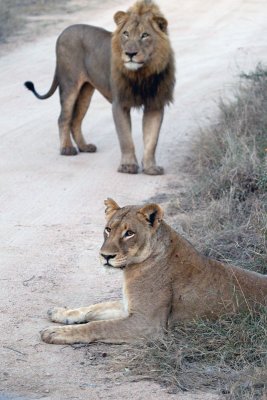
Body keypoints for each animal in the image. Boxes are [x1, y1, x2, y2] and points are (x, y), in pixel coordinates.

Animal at [24, 0, 176, 175]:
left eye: (145, 35)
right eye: (126, 34)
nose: (130, 53)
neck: (142, 73)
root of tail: (63, 32)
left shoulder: (155, 104)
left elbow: (152, 139)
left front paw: (151, 168)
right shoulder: (119, 103)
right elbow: (125, 138)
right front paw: (128, 166)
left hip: (86, 91)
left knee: (75, 120)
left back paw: (84, 146)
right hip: (69, 84)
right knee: (64, 118)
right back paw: (67, 149)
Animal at [40, 198, 266, 346]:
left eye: (129, 233)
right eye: (108, 229)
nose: (105, 256)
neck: (131, 268)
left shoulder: (147, 323)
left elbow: (97, 326)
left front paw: (55, 332)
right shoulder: (128, 306)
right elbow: (95, 308)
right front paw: (61, 313)